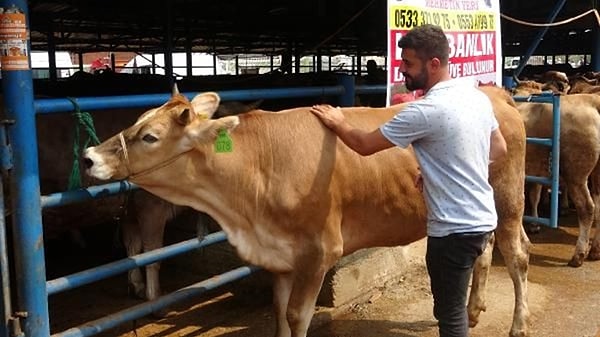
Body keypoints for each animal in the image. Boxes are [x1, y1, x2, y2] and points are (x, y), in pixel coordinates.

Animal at [83, 86, 528, 336]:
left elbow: (298, 316)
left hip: (508, 199)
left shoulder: (319, 253)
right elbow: (280, 314)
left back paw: (518, 324)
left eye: (150, 136)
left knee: (517, 255)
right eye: (138, 121)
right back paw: (473, 311)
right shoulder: (280, 257)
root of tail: (492, 92)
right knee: (485, 250)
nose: (89, 157)